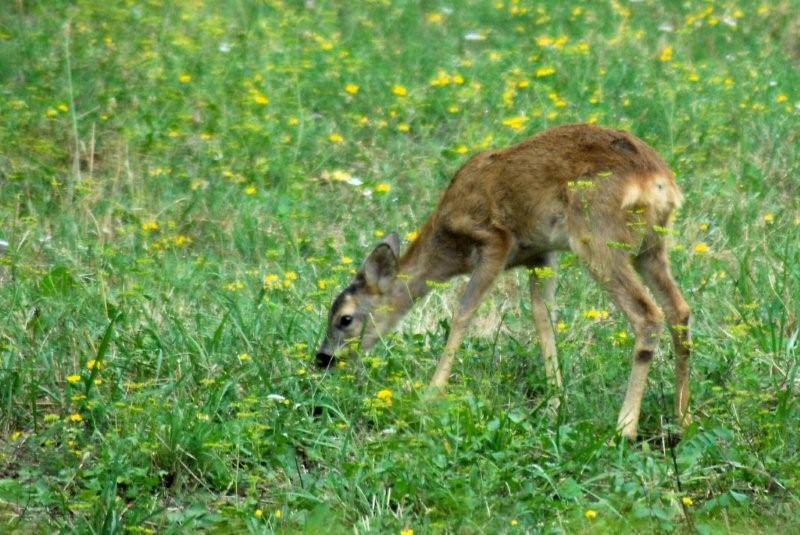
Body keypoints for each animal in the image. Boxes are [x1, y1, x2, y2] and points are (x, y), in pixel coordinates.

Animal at [316, 122, 692, 440]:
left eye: (344, 319)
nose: (323, 359)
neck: (448, 242)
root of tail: (660, 183)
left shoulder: (494, 241)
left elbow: (463, 313)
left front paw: (430, 395)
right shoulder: (541, 255)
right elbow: (543, 319)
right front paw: (554, 404)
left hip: (598, 237)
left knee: (648, 315)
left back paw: (625, 427)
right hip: (651, 247)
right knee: (679, 310)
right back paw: (682, 416)